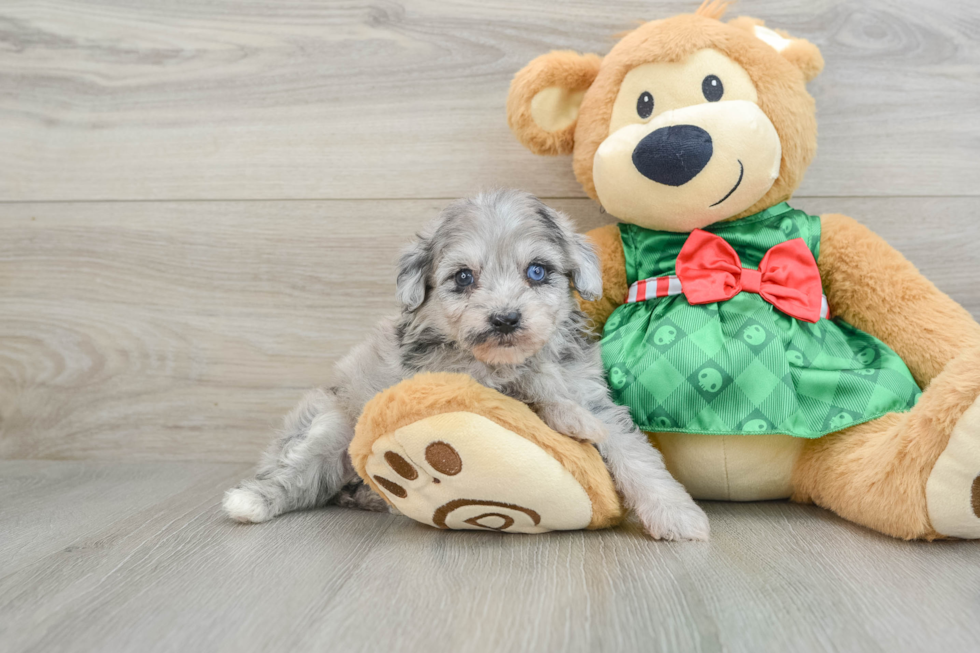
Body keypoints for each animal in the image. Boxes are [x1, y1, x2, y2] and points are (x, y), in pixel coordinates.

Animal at [226, 188, 708, 540]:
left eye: (537, 271)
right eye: (463, 277)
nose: (505, 319)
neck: (513, 360)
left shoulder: (594, 395)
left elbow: (635, 455)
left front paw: (677, 514)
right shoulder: (458, 380)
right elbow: (531, 393)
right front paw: (570, 419)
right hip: (330, 428)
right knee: (294, 477)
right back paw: (250, 502)